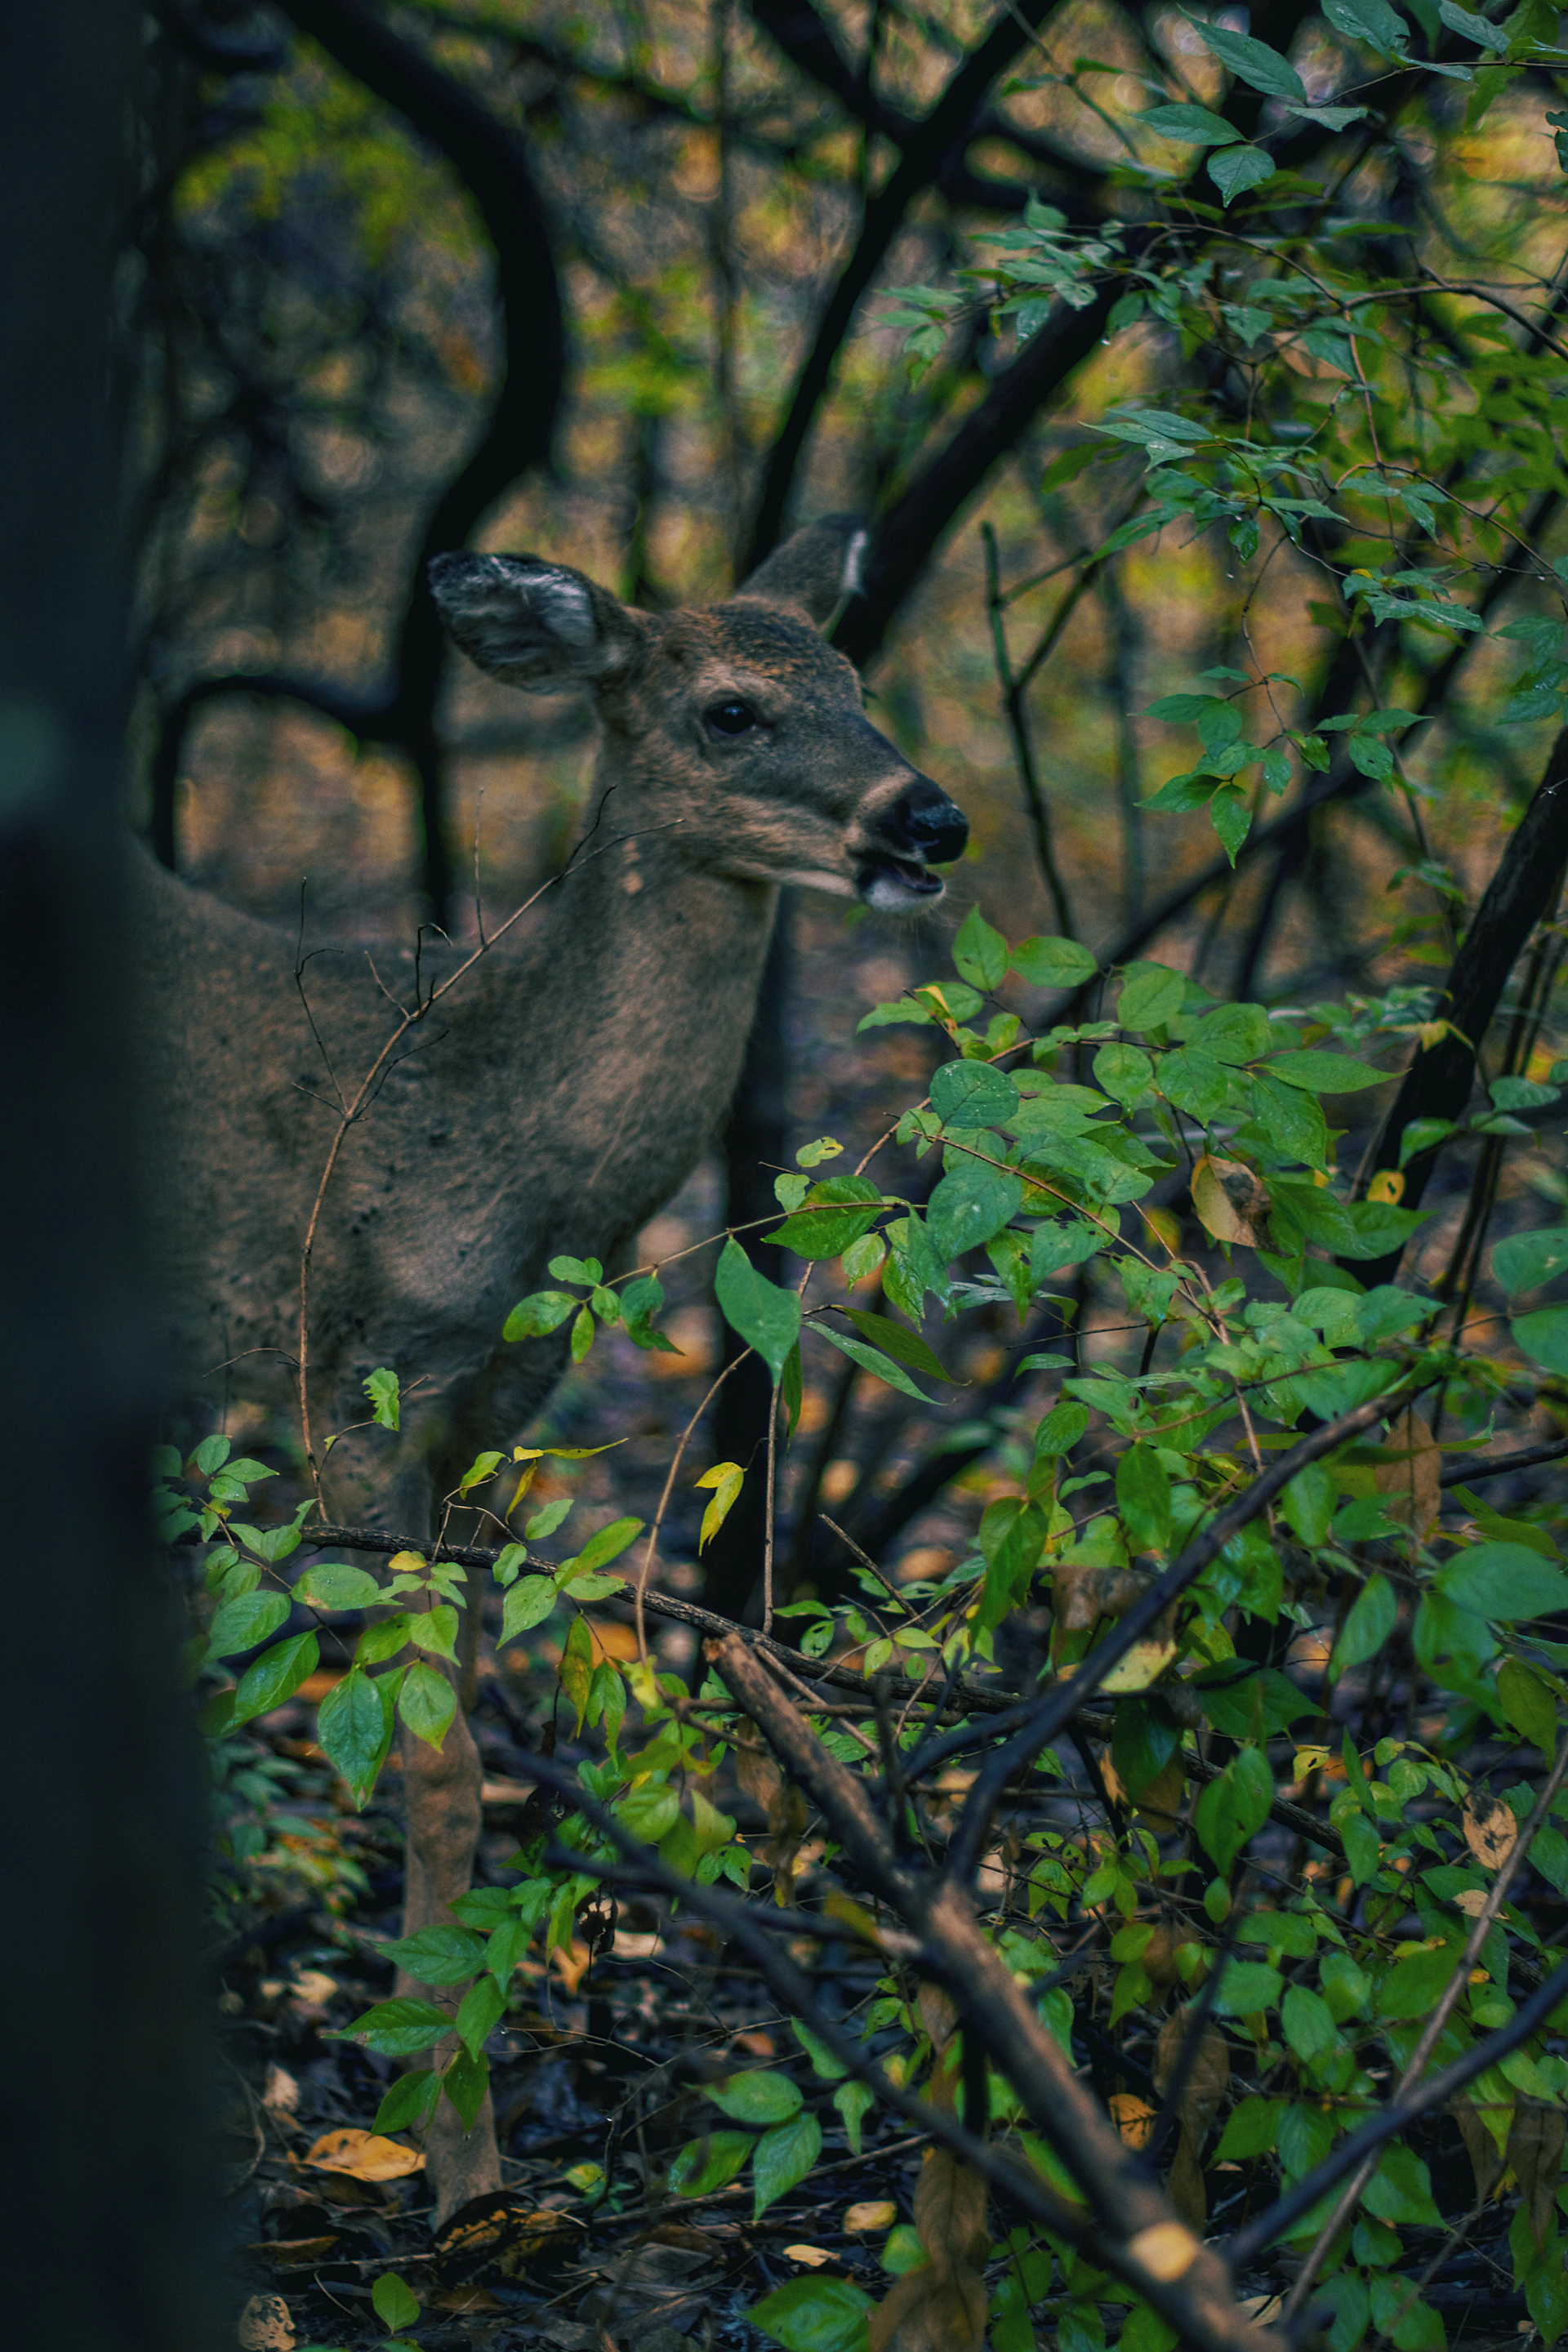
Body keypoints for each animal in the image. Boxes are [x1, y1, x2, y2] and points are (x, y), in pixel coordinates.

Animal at [135, 514, 967, 2224]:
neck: (507, 1162)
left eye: (857, 680)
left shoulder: (489, 1408)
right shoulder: (350, 1371)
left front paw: (440, 2051)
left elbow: (461, 1742)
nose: (933, 814)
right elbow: (439, 1766)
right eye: (730, 710)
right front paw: (458, 2168)